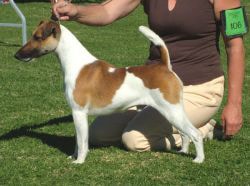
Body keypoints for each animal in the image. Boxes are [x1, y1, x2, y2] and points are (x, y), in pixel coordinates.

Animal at [14, 20, 204, 163]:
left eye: (37, 37)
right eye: (33, 35)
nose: (16, 55)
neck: (76, 63)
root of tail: (164, 67)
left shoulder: (79, 113)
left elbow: (82, 142)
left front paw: (79, 161)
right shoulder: (77, 115)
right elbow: (77, 140)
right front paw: (73, 156)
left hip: (172, 111)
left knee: (195, 134)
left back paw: (198, 159)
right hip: (171, 113)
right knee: (185, 134)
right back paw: (182, 151)